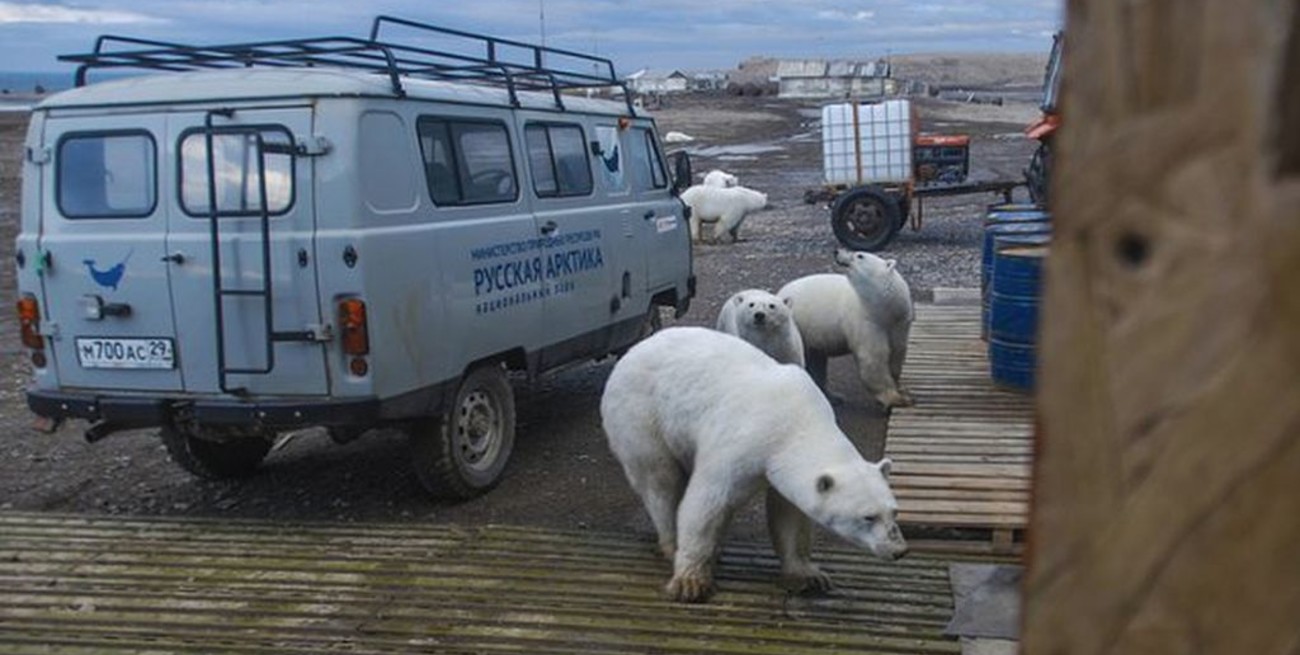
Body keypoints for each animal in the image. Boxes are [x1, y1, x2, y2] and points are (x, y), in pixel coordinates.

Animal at [600, 326, 908, 603]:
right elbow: (707, 502)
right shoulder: (741, 441)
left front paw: (808, 576)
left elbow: (790, 515)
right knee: (658, 478)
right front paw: (691, 582)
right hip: (639, 413)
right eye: (868, 517)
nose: (899, 551)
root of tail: (634, 351)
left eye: (893, 511)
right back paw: (672, 542)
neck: (794, 420)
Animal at [778, 248, 915, 410]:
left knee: (817, 358)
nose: (837, 250)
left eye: (859, 255)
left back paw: (833, 396)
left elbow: (897, 351)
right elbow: (873, 358)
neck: (884, 309)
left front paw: (900, 388)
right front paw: (896, 398)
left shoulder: (900, 323)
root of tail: (780, 292)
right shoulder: (865, 321)